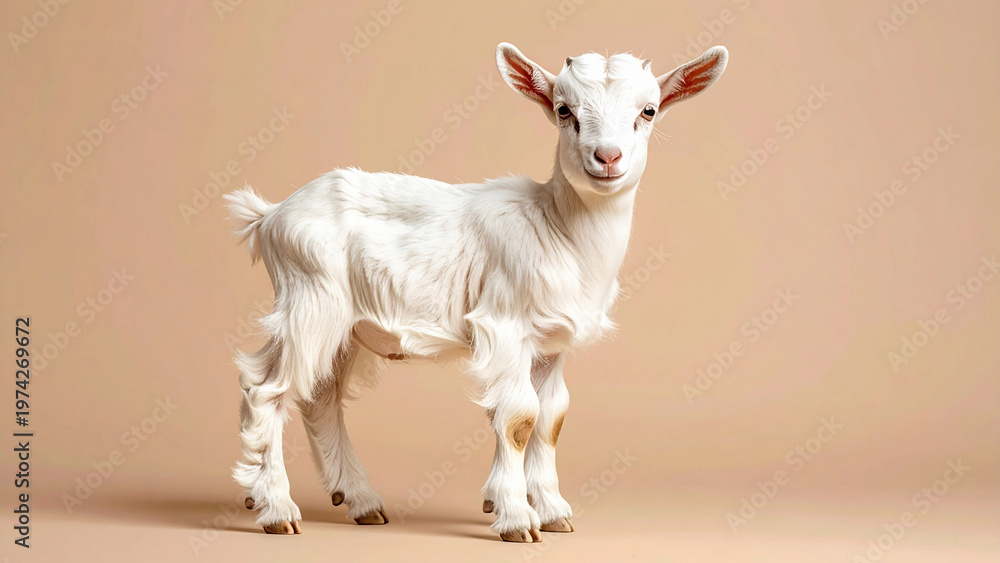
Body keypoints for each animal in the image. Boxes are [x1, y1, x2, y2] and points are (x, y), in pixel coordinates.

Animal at [225, 42, 727, 542]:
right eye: (564, 110)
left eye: (649, 110)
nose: (607, 157)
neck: (558, 229)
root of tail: (270, 216)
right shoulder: (503, 324)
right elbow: (519, 418)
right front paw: (517, 519)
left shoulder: (551, 344)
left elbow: (551, 419)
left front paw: (552, 511)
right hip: (311, 301)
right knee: (266, 391)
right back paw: (277, 510)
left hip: (346, 325)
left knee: (319, 399)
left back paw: (358, 501)